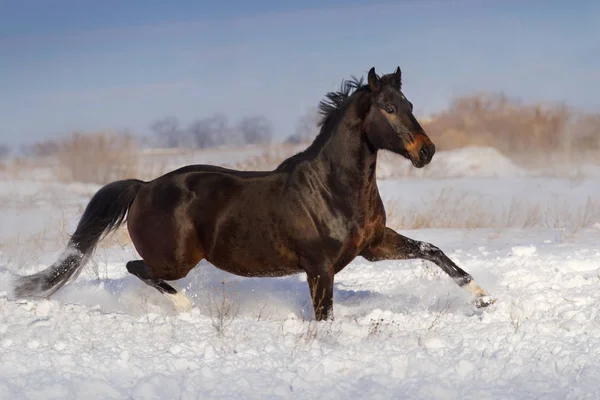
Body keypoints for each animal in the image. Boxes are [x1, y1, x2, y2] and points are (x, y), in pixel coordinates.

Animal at [12, 67, 492, 320]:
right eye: (388, 108)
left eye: (409, 105)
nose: (426, 152)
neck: (332, 189)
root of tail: (144, 186)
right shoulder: (319, 266)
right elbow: (324, 314)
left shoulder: (374, 245)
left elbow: (432, 250)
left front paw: (483, 297)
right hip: (177, 259)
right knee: (139, 268)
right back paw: (187, 308)